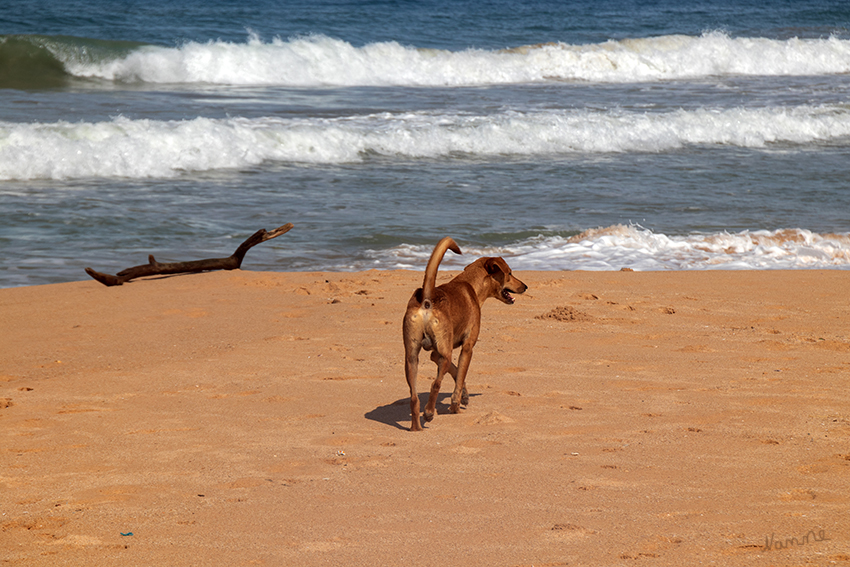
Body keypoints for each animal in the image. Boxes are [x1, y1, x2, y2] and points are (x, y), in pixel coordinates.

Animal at [402, 239, 524, 430]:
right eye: (509, 273)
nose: (525, 286)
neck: (471, 284)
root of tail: (427, 299)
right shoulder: (467, 347)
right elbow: (459, 377)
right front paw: (455, 406)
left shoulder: (436, 353)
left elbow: (457, 372)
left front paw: (464, 396)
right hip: (443, 354)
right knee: (435, 384)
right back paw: (429, 413)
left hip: (411, 357)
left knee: (414, 397)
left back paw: (416, 427)